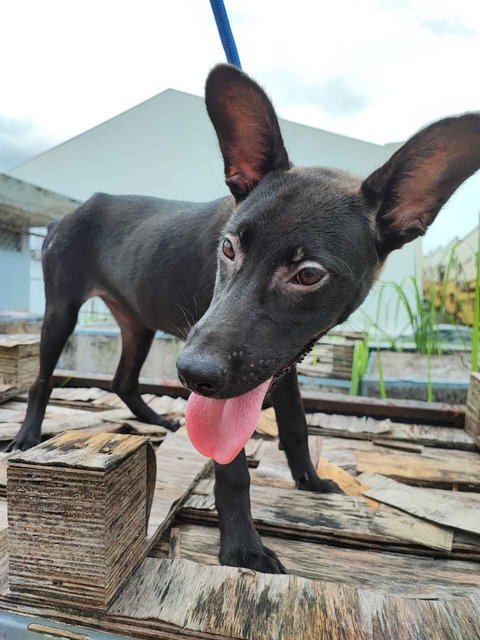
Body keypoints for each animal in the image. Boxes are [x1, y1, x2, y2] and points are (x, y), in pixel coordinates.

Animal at [10, 66, 480, 576]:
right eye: (228, 248)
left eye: (308, 274)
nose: (193, 375)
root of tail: (65, 215)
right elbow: (232, 466)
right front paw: (242, 547)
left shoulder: (281, 361)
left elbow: (296, 425)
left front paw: (310, 481)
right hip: (61, 311)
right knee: (42, 380)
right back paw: (27, 435)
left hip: (139, 322)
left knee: (124, 380)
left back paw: (159, 420)